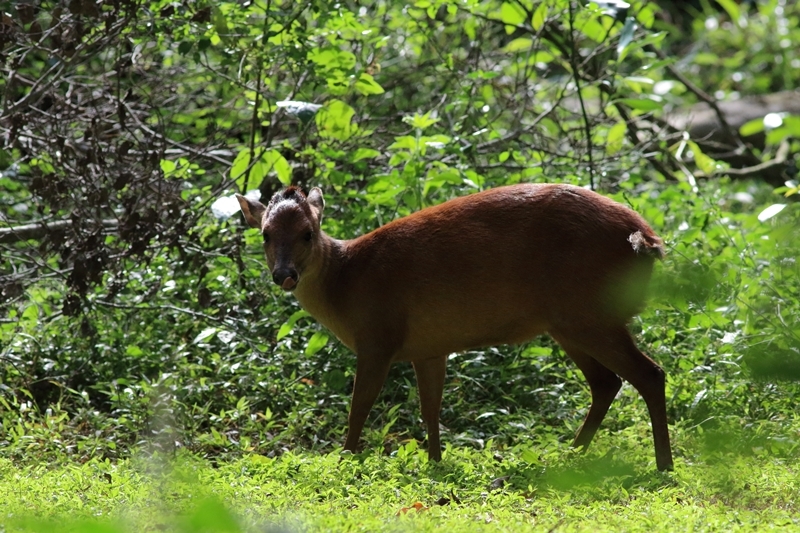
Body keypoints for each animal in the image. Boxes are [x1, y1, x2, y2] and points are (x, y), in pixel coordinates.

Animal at [239, 183, 676, 470]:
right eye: (265, 234)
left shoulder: (378, 335)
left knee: (649, 373)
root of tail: (647, 238)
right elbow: (430, 407)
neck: (346, 282)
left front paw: (345, 458)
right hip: (569, 322)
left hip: (590, 312)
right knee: (607, 382)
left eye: (307, 233)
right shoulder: (428, 347)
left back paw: (663, 465)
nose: (284, 275)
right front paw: (435, 461)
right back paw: (573, 454)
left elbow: (359, 405)